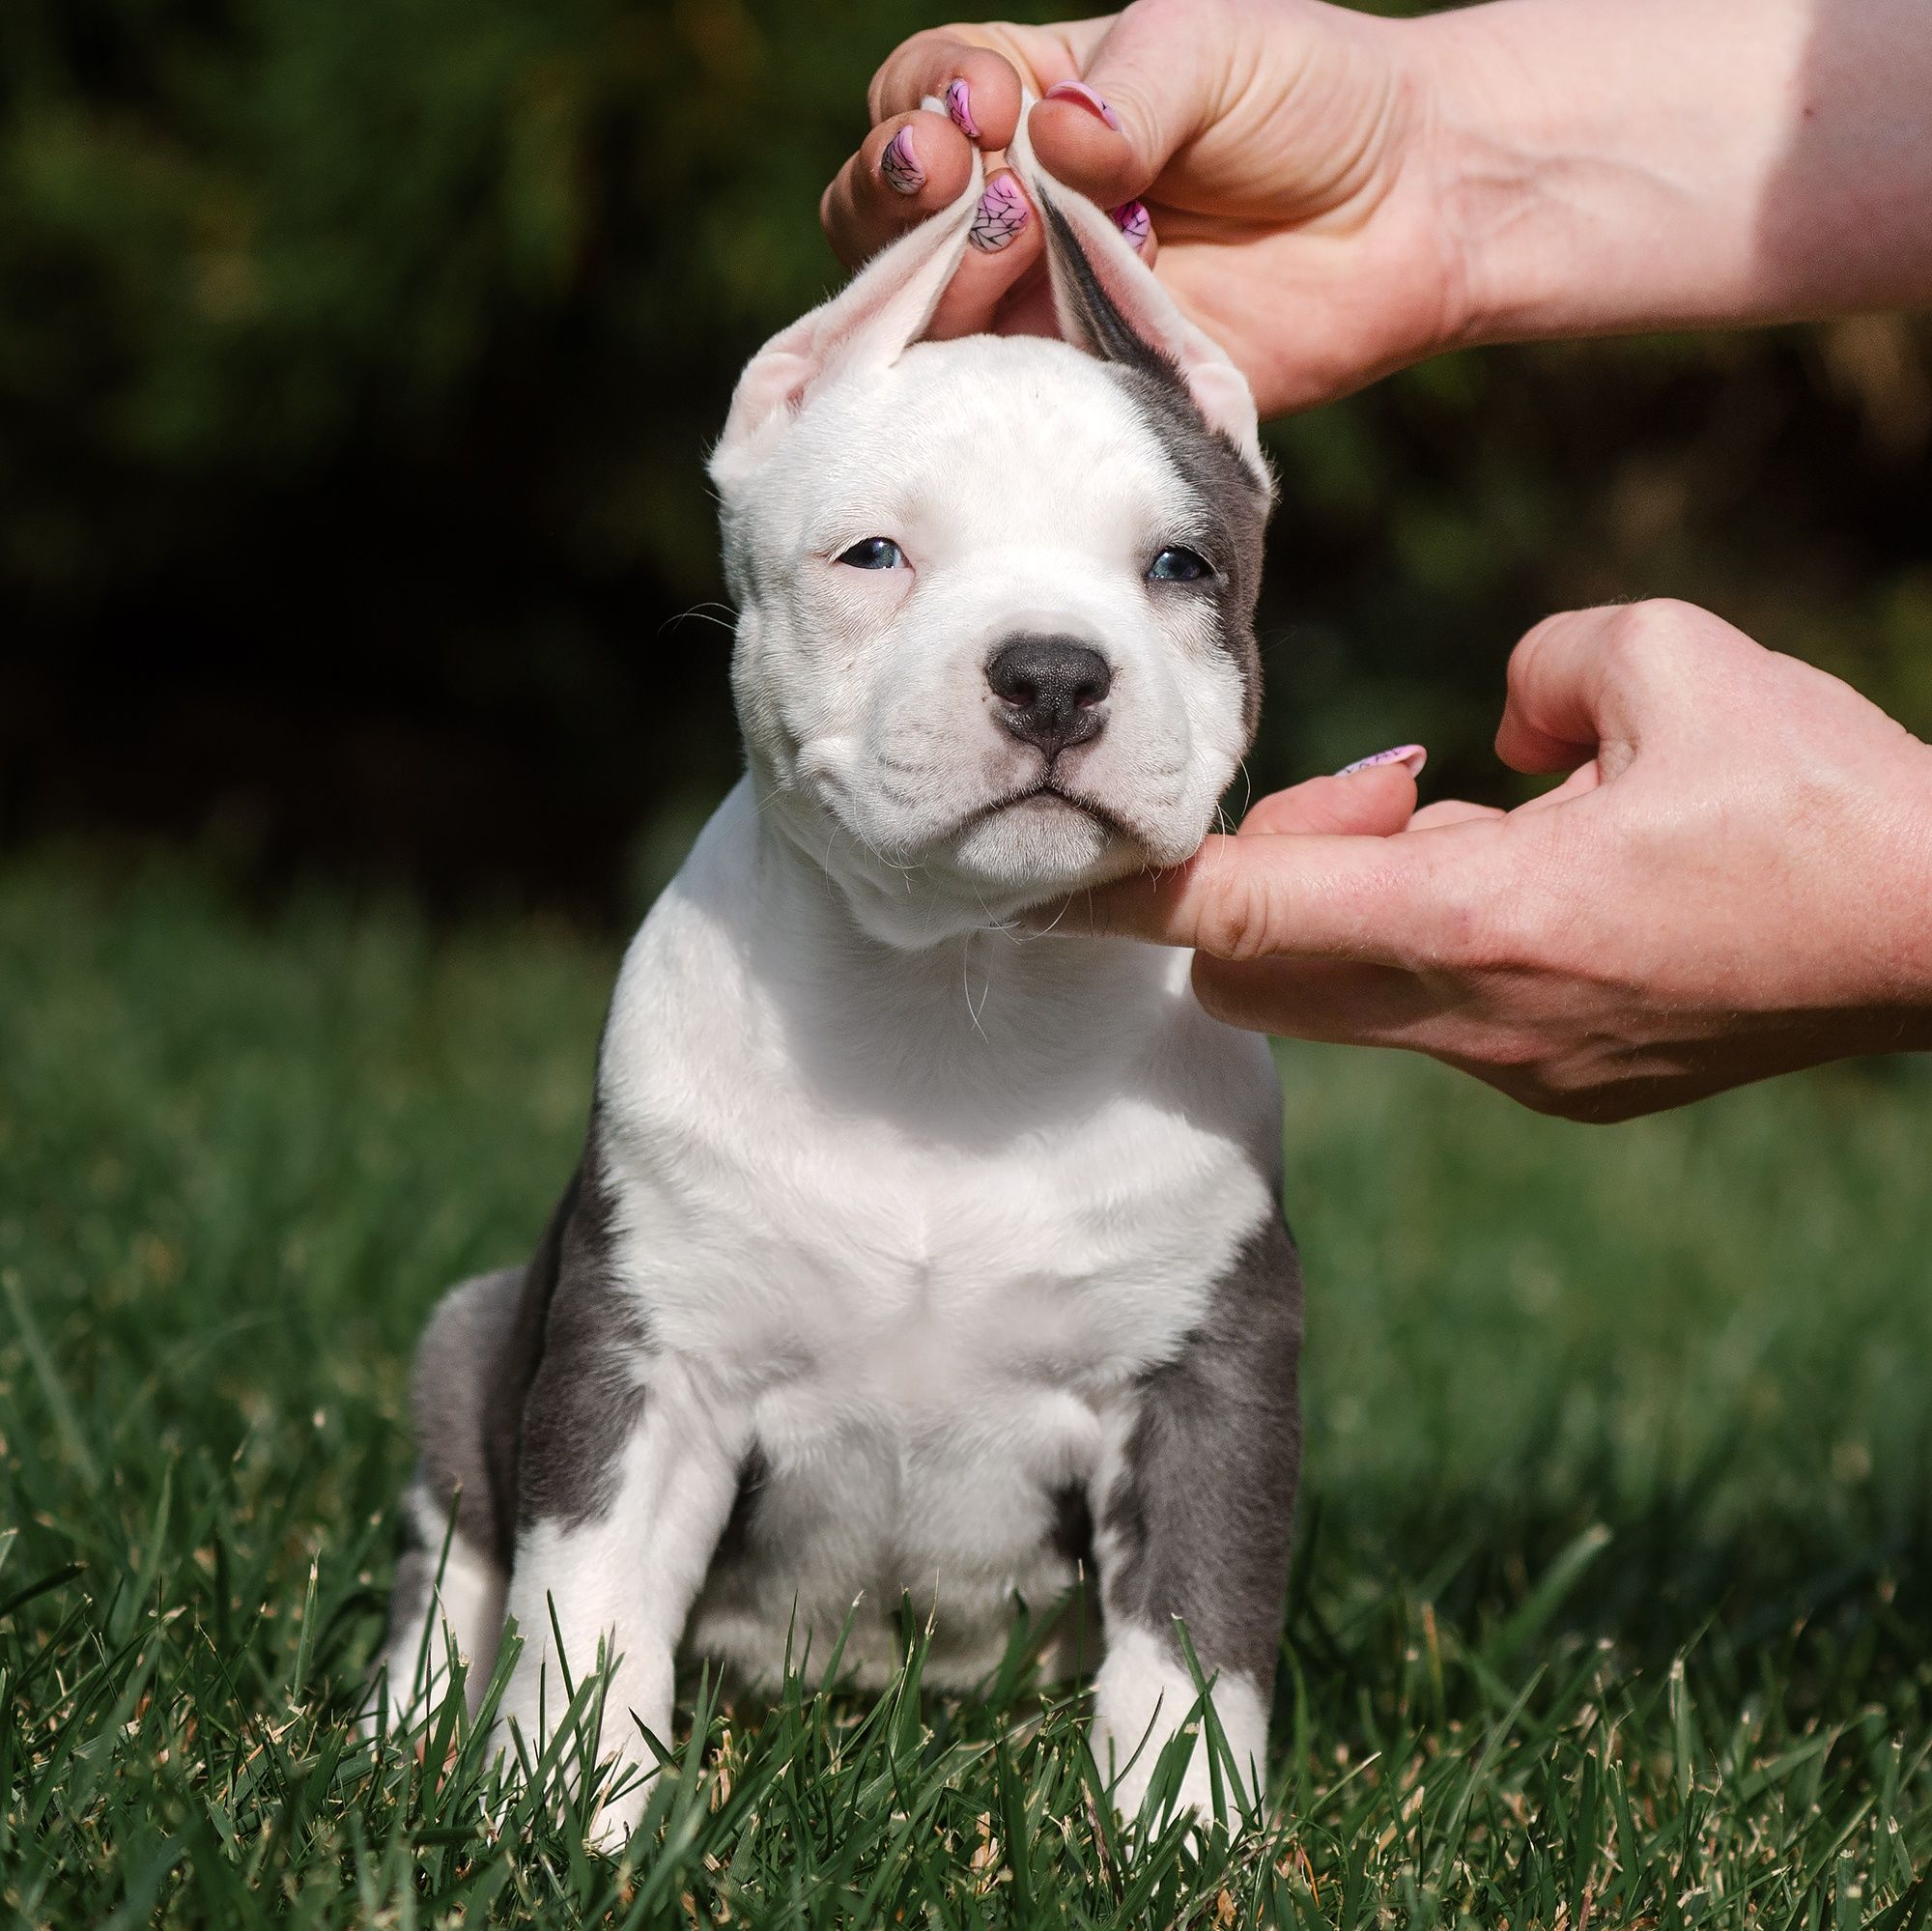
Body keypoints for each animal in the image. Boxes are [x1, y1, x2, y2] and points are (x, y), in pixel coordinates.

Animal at [371, 120, 1298, 1838]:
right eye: (876, 551)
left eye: (1178, 564)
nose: (1055, 672)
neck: (957, 994)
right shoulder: (643, 1359)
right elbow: (581, 1603)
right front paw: (568, 1818)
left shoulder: (1208, 1378)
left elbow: (1197, 1637)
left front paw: (1181, 1835)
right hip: (470, 1335)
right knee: (453, 1539)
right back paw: (402, 1730)